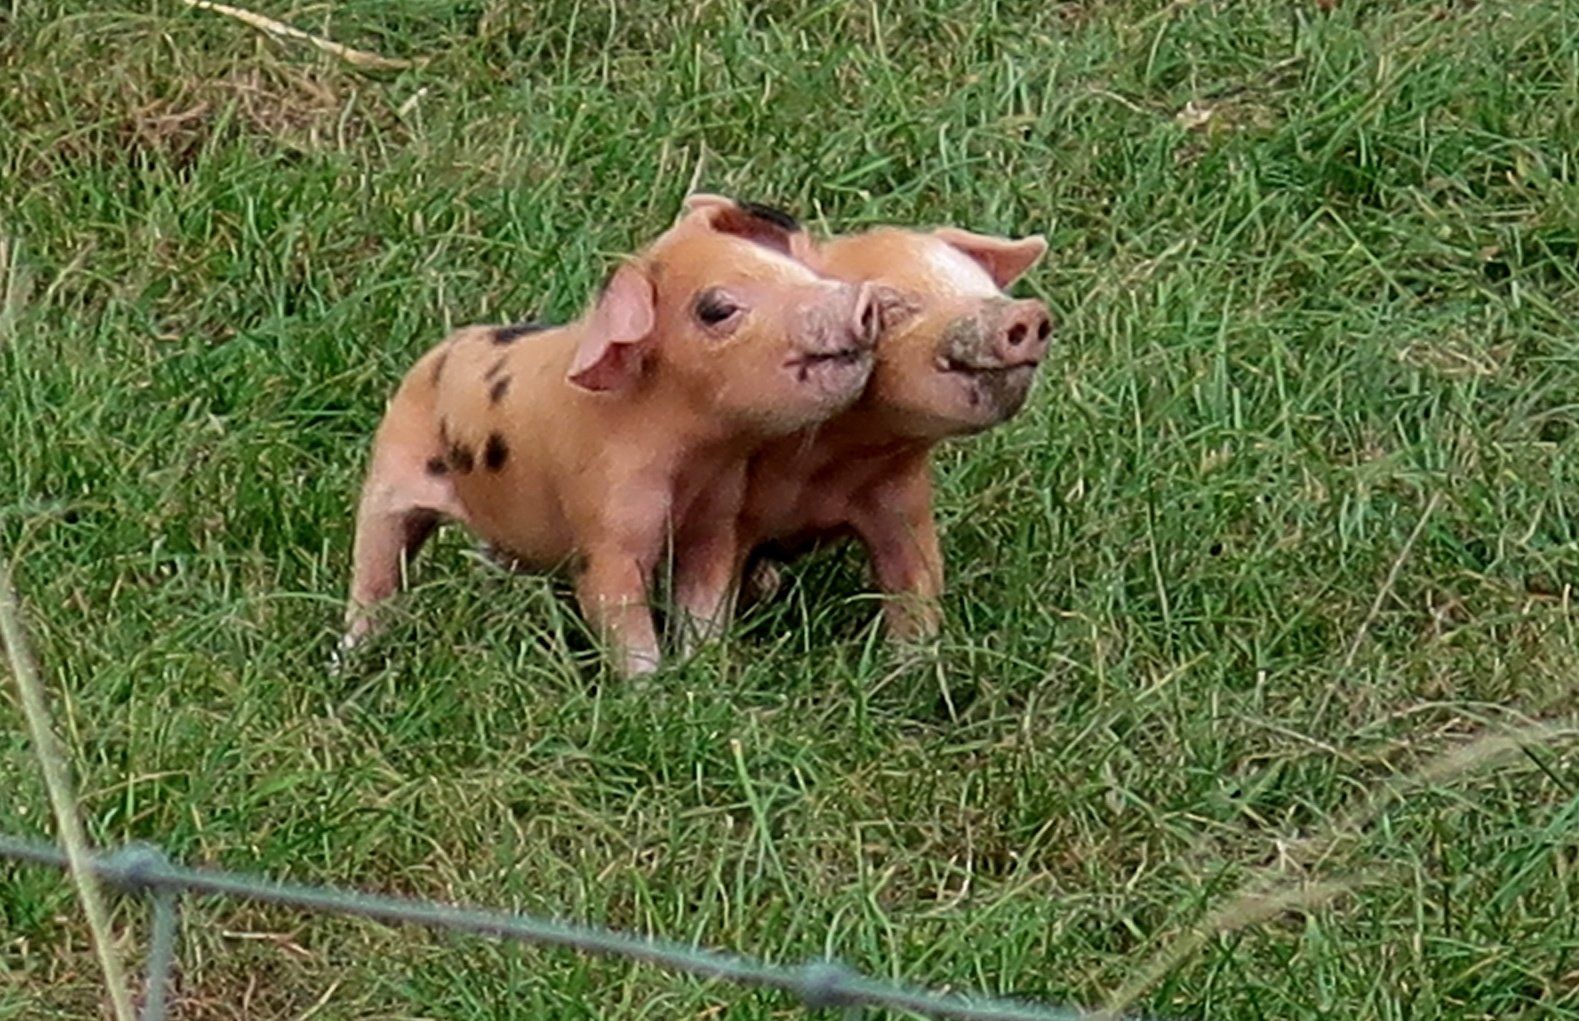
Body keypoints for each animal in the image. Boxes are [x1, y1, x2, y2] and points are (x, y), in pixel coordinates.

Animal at [342, 199, 882, 676]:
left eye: (788, 266)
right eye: (717, 309)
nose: (863, 301)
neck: (690, 458)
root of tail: (438, 352)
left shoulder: (715, 521)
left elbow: (705, 603)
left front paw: (704, 672)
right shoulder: (604, 528)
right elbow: (621, 618)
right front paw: (650, 692)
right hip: (390, 477)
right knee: (374, 568)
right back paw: (349, 656)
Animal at [671, 195, 1050, 647]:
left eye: (987, 287)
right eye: (889, 305)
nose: (1027, 313)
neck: (827, 467)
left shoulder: (903, 501)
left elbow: (916, 589)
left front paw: (917, 659)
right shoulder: (723, 511)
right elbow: (707, 598)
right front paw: (704, 659)